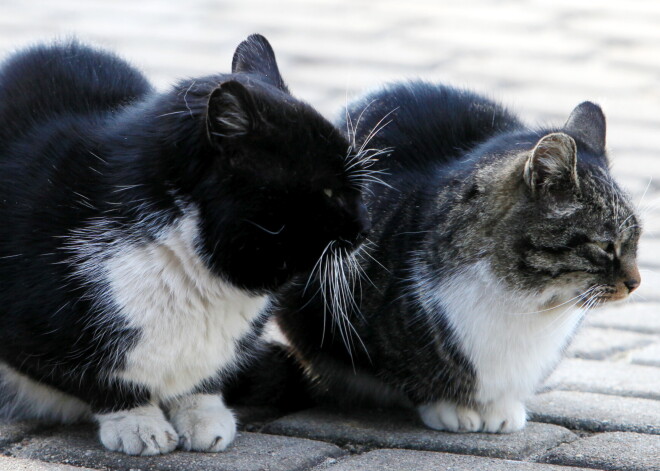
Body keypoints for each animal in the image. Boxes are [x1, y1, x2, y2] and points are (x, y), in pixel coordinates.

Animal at [0, 35, 372, 456]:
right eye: (329, 192)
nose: (366, 227)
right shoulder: (25, 330)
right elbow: (96, 376)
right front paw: (137, 421)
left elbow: (202, 376)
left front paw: (202, 414)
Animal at [231, 80, 640, 436]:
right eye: (607, 246)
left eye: (638, 240)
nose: (636, 283)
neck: (526, 301)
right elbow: (410, 372)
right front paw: (451, 408)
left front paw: (502, 408)